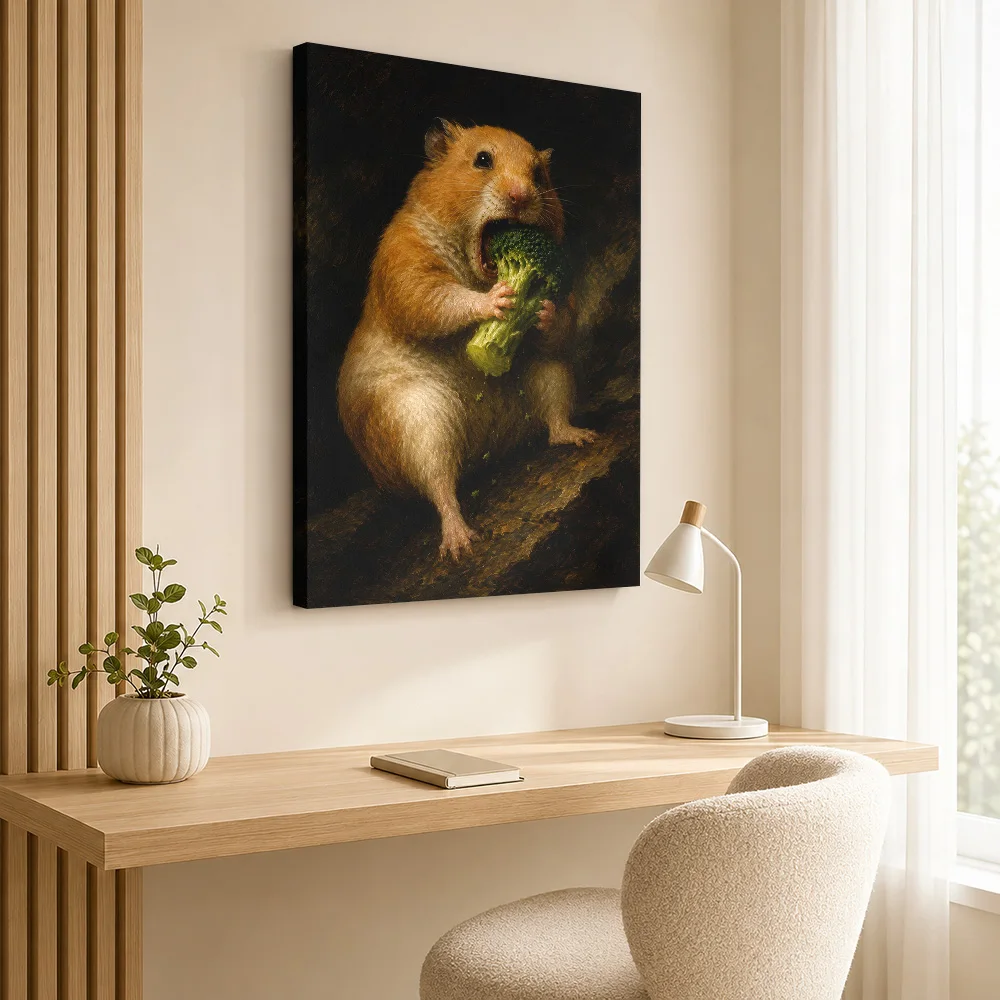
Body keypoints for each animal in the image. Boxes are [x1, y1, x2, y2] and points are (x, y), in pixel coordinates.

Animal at [337, 119, 596, 562]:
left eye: (539, 175)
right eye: (482, 160)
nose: (520, 196)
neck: (480, 270)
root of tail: (485, 452)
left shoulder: (565, 288)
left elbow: (561, 322)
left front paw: (540, 311)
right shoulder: (406, 266)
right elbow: (439, 299)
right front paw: (497, 302)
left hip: (551, 375)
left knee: (554, 417)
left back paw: (581, 437)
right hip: (417, 420)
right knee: (440, 484)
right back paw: (460, 543)